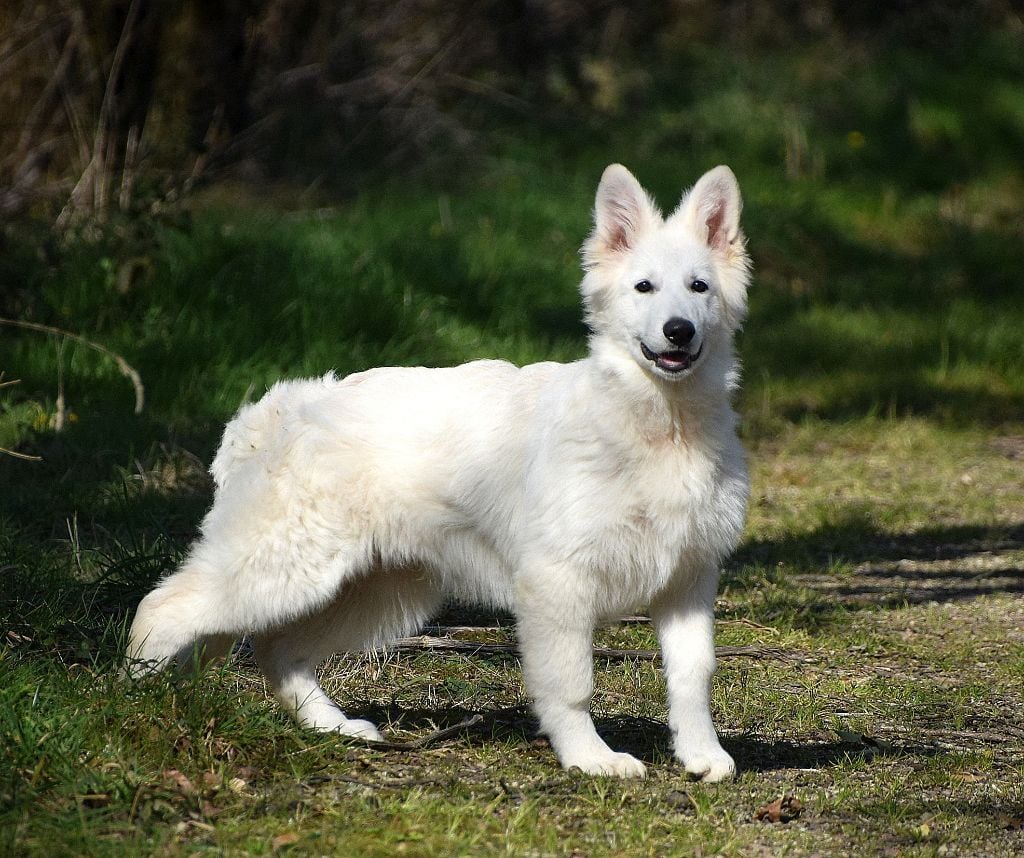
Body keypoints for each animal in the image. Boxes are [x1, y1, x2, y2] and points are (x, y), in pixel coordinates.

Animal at [128, 164, 753, 782]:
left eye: (698, 287)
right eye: (643, 287)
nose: (678, 331)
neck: (661, 428)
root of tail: (282, 410)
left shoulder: (688, 584)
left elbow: (693, 679)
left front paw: (701, 755)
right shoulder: (558, 586)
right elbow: (572, 685)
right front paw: (589, 758)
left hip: (377, 591)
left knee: (279, 651)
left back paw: (334, 727)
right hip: (283, 570)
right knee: (162, 607)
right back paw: (132, 698)